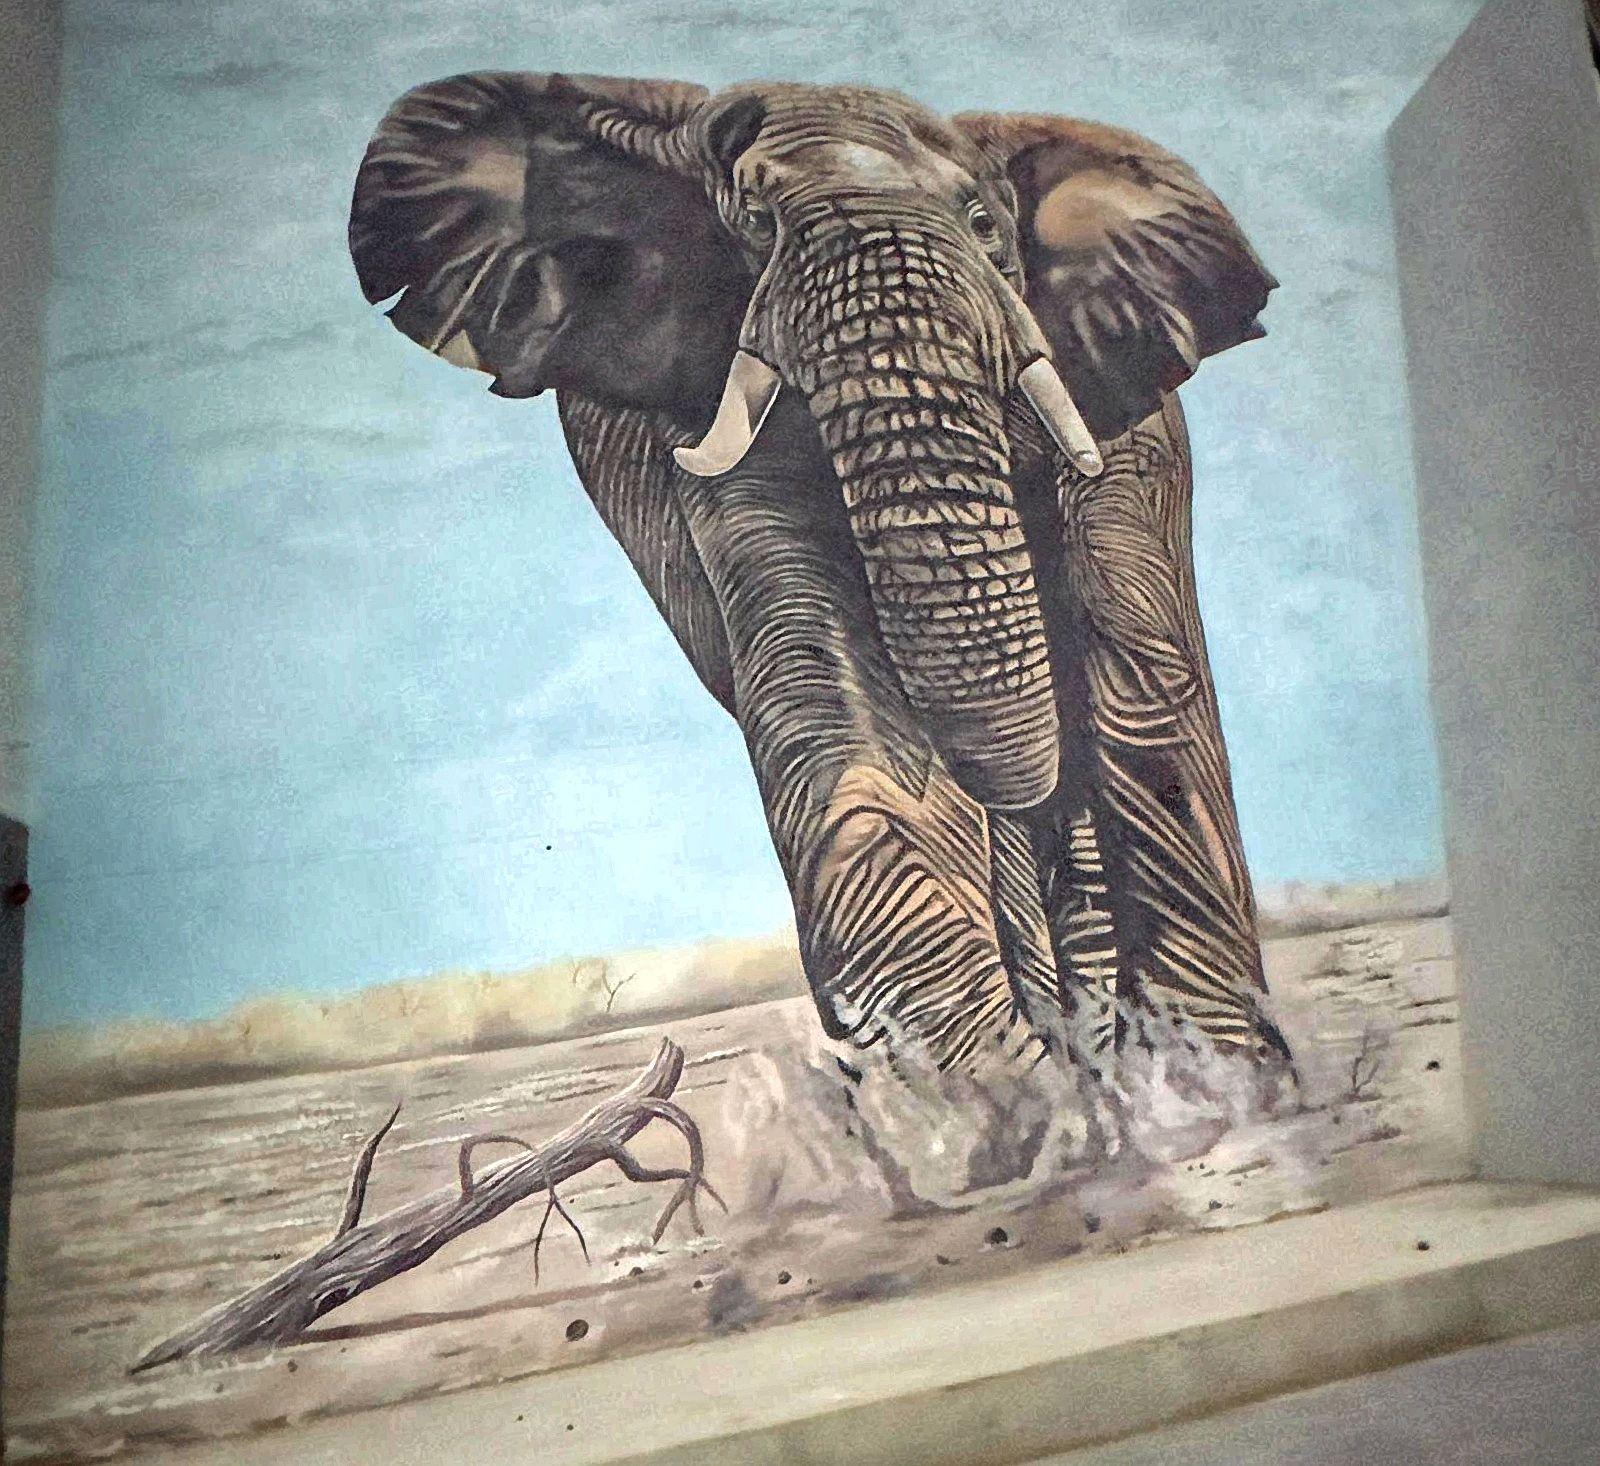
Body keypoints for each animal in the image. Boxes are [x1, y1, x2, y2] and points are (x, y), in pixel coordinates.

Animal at [349, 71, 1290, 1082]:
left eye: (984, 223)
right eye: (756, 224)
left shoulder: (1125, 396)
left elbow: (1141, 685)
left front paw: (1226, 1084)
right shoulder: (713, 428)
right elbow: (844, 717)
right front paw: (1016, 1107)